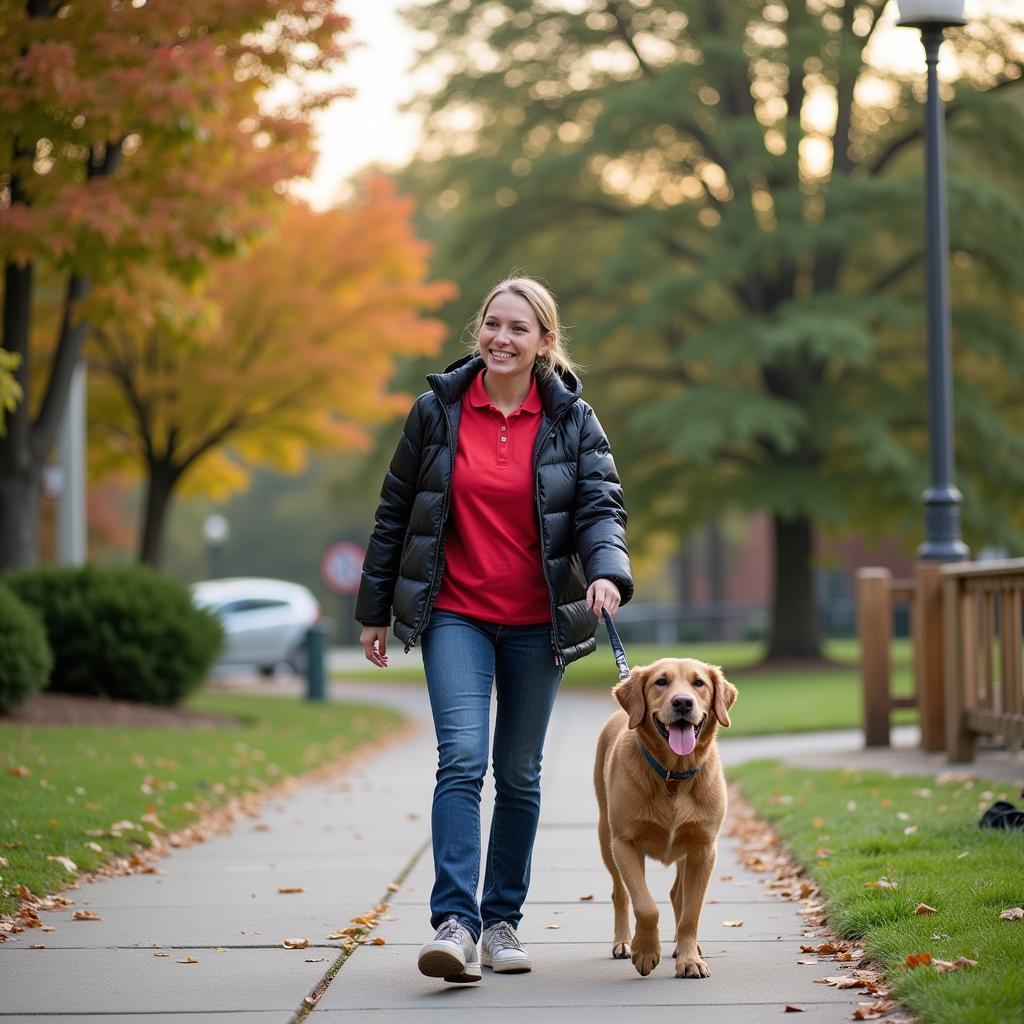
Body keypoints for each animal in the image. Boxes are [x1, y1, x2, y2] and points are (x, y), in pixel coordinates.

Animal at [593, 659, 737, 978]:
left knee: (676, 895)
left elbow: (691, 912)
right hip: (605, 836)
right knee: (620, 894)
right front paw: (645, 951)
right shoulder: (625, 844)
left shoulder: (703, 849)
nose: (682, 702)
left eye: (699, 683)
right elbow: (646, 906)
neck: (673, 775)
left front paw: (689, 959)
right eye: (661, 682)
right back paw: (623, 942)